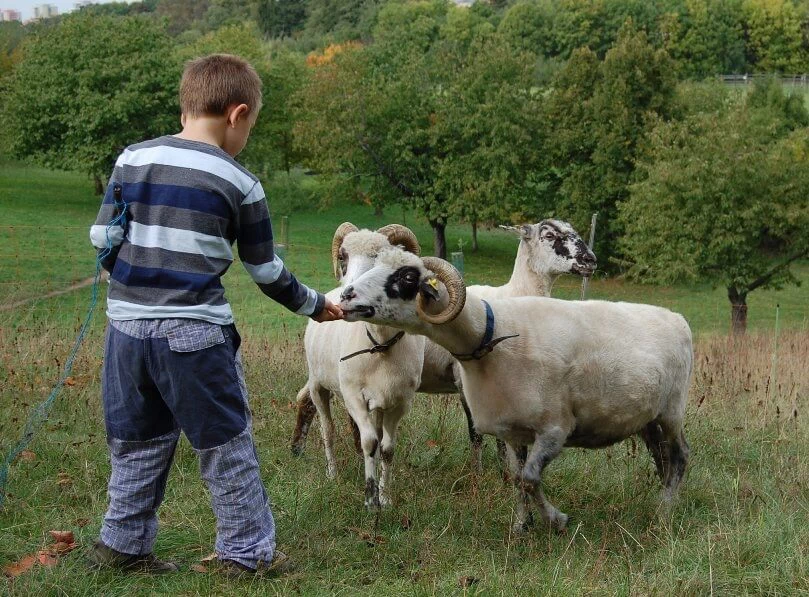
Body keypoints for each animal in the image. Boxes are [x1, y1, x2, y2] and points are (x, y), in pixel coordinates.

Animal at [294, 219, 596, 470]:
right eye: (549, 235)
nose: (590, 260)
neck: (514, 295)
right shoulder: (463, 380)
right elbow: (475, 432)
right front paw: (480, 473)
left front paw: (503, 471)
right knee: (313, 402)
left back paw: (299, 450)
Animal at [296, 221, 422, 510]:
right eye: (343, 257)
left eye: (379, 258)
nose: (347, 294)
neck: (381, 347)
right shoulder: (353, 395)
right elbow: (369, 442)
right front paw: (370, 499)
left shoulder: (400, 402)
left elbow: (386, 448)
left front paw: (385, 498)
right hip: (319, 384)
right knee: (327, 429)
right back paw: (332, 473)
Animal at [338, 247, 692, 532]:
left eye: (408, 276)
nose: (346, 296)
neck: (491, 336)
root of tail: (678, 319)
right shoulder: (512, 430)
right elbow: (515, 477)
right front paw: (523, 524)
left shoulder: (555, 429)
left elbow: (529, 479)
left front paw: (557, 520)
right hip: (646, 417)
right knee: (662, 456)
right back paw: (661, 500)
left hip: (673, 409)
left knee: (679, 454)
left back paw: (664, 513)